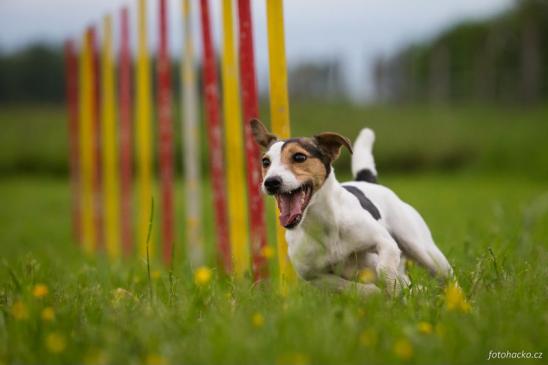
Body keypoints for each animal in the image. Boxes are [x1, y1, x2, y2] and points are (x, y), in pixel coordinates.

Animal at [250, 119, 452, 296]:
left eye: (299, 157)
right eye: (265, 162)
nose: (271, 182)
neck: (323, 224)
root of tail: (366, 181)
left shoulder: (385, 242)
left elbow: (385, 268)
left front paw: (392, 289)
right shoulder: (314, 276)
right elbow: (347, 286)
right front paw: (376, 293)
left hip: (422, 249)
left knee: (446, 275)